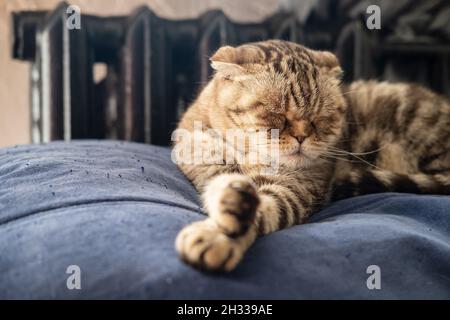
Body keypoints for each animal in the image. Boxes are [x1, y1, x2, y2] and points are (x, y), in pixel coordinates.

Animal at [171, 38, 450, 272]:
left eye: (319, 119)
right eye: (277, 116)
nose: (302, 136)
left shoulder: (293, 189)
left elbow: (263, 209)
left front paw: (219, 235)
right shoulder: (204, 159)